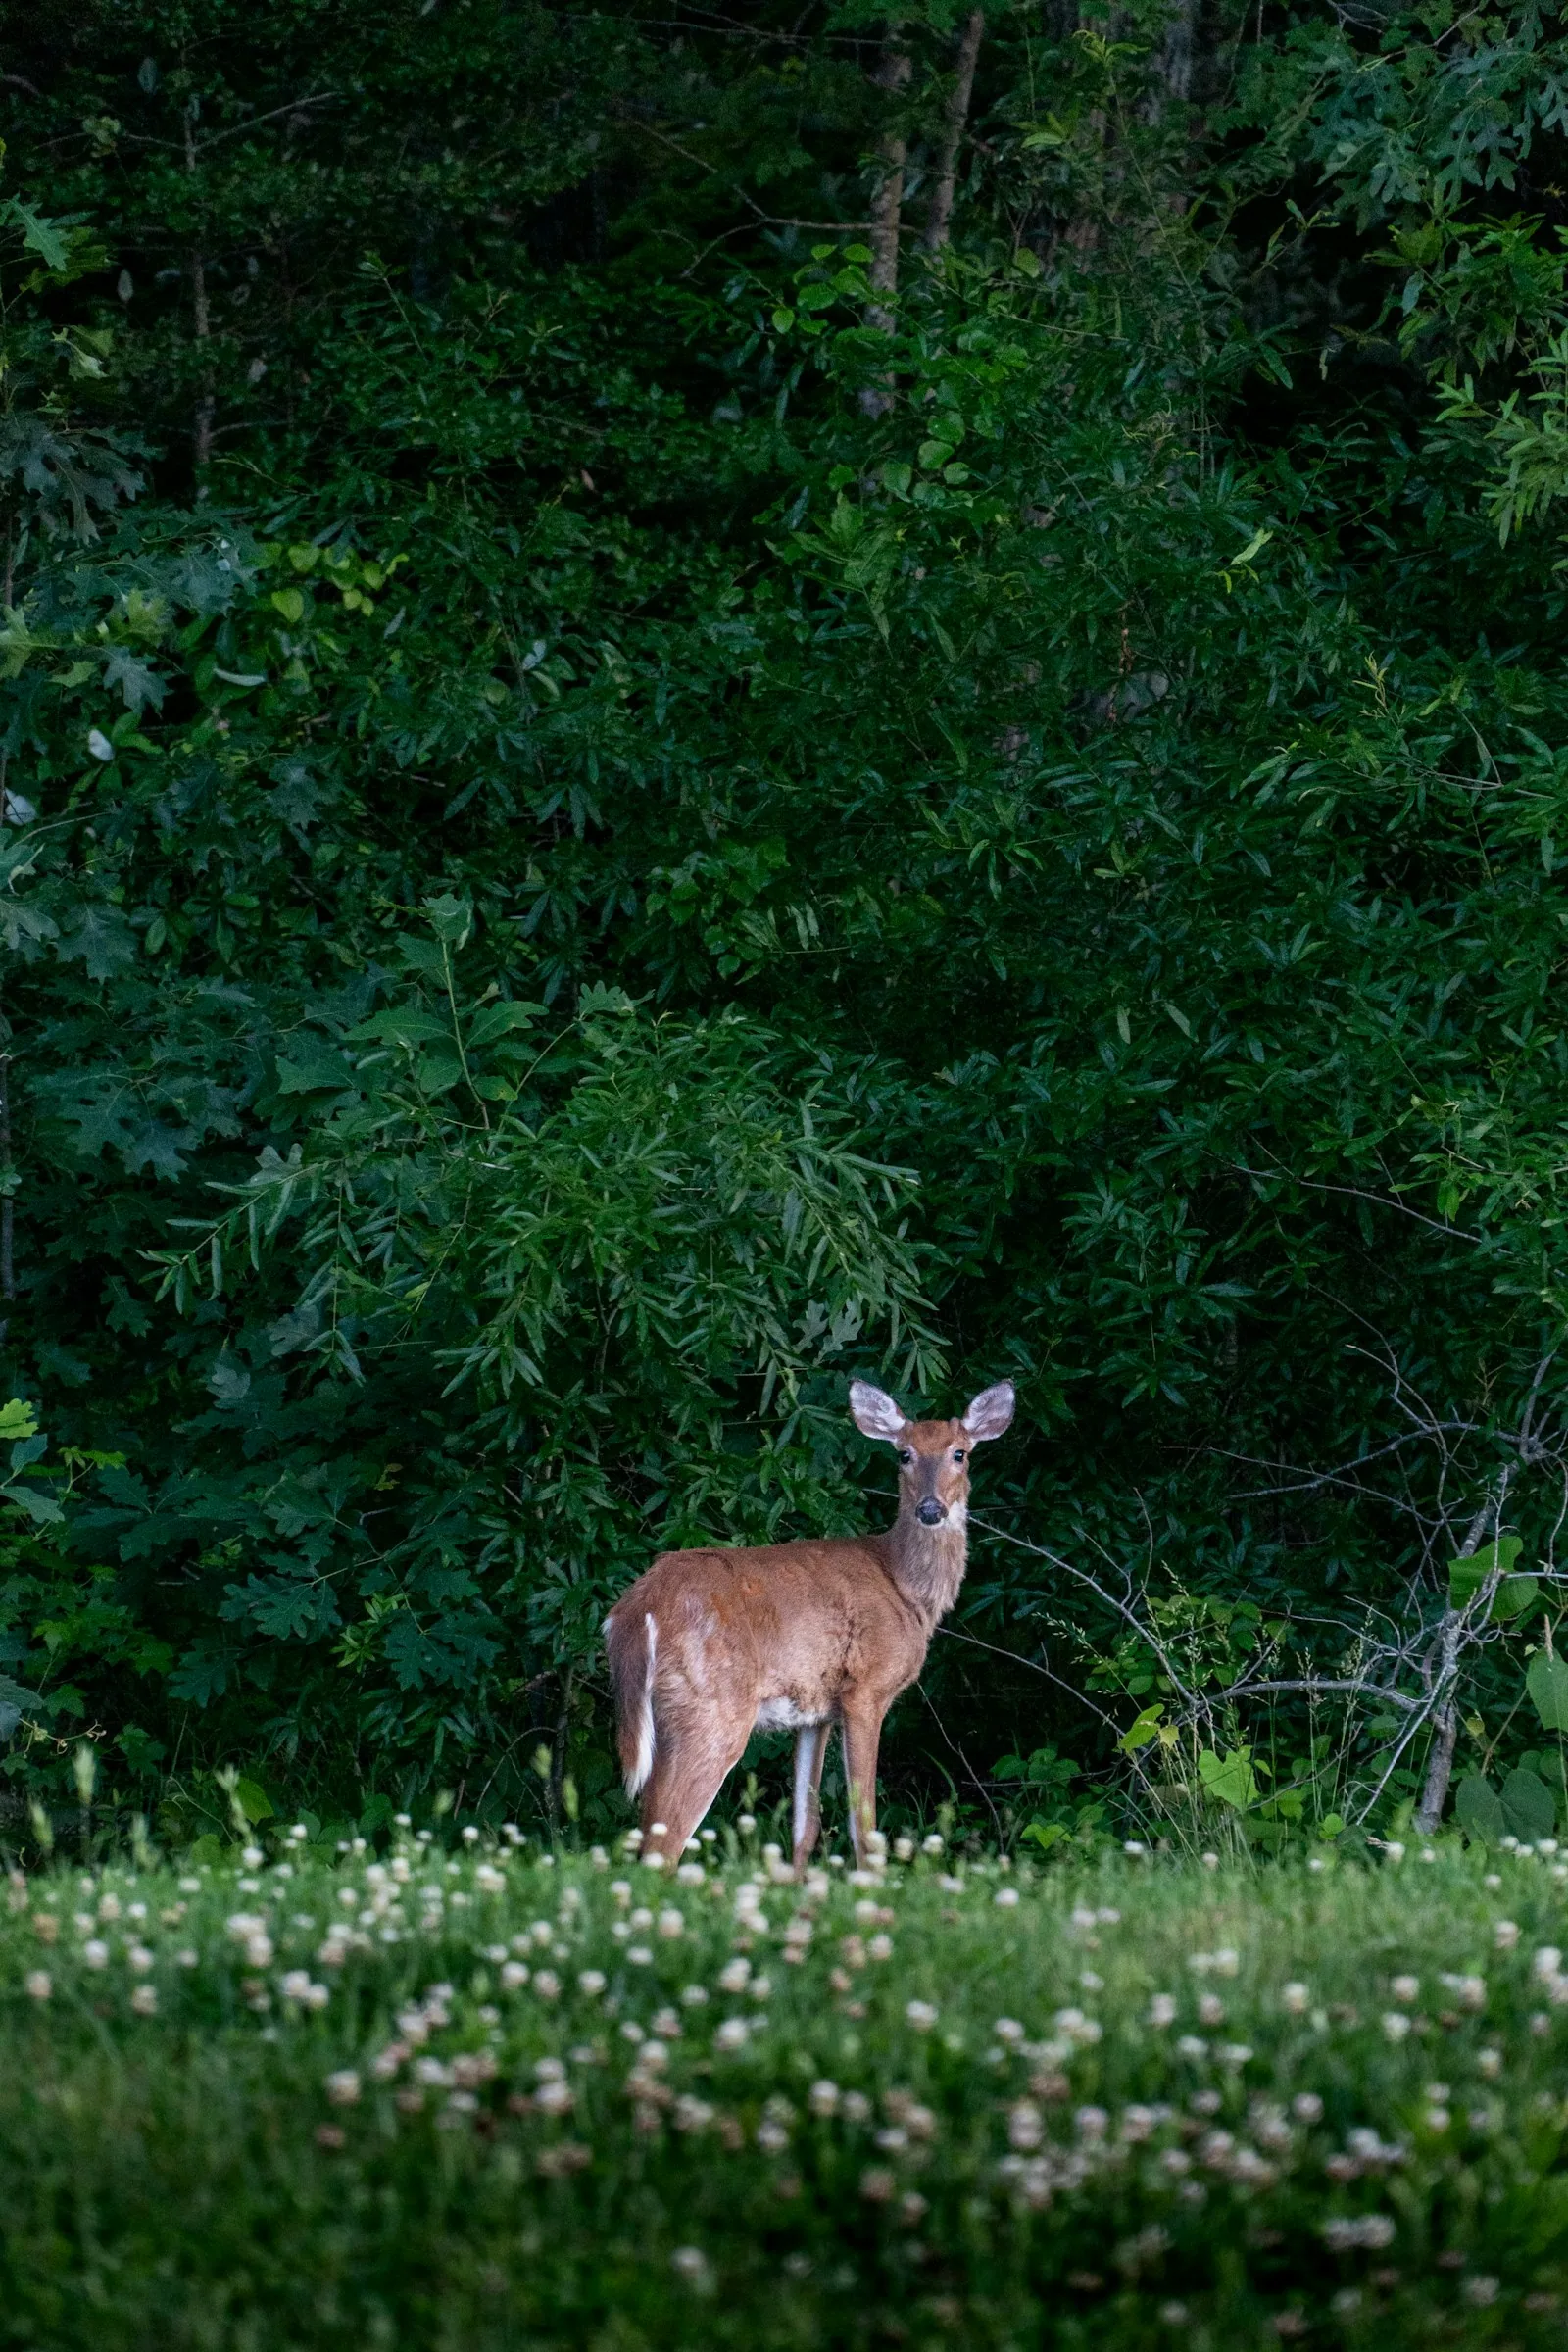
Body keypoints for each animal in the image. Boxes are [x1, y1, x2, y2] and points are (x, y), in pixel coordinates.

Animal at [603, 1377, 1015, 1872]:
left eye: (960, 1453)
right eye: (904, 1454)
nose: (931, 1510)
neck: (905, 1586)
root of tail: (636, 1610)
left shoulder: (814, 1711)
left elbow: (806, 1825)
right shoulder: (866, 1688)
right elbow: (864, 1823)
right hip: (711, 1706)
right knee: (663, 1841)